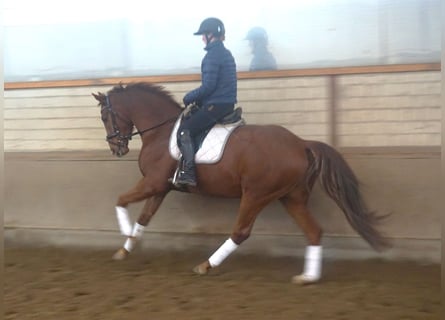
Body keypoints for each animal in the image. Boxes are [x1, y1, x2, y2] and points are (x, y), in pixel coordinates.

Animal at [92, 81, 386, 284]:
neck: (161, 132)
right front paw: (126, 247)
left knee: (241, 232)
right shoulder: (161, 187)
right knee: (314, 232)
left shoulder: (152, 184)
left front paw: (125, 234)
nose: (116, 149)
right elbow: (144, 218)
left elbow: (121, 201)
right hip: (292, 197)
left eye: (106, 117)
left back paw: (206, 265)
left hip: (256, 194)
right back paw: (308, 277)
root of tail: (301, 143)